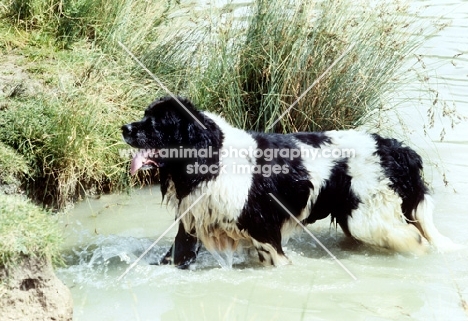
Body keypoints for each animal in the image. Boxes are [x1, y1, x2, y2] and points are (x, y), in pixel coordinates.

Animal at [121, 95, 458, 268]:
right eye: (144, 115)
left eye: (156, 123)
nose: (125, 128)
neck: (211, 157)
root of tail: (396, 149)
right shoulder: (192, 223)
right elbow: (177, 254)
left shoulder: (263, 227)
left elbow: (278, 260)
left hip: (368, 216)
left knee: (415, 239)